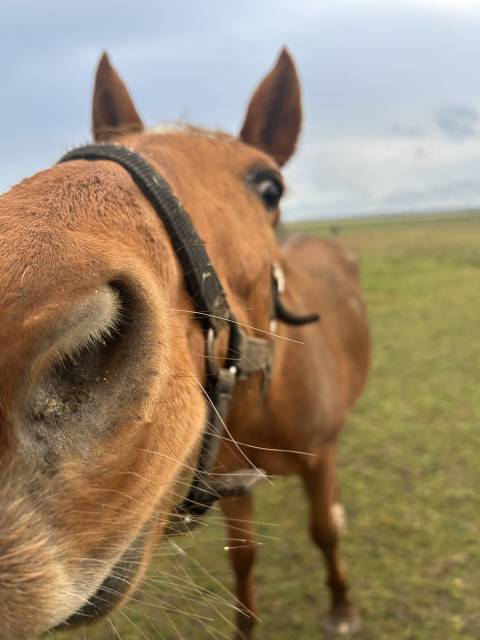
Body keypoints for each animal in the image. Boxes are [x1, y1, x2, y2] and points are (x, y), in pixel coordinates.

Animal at [0, 48, 369, 640]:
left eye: (270, 187)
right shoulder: (229, 484)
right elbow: (244, 557)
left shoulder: (322, 460)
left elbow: (324, 533)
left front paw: (340, 606)